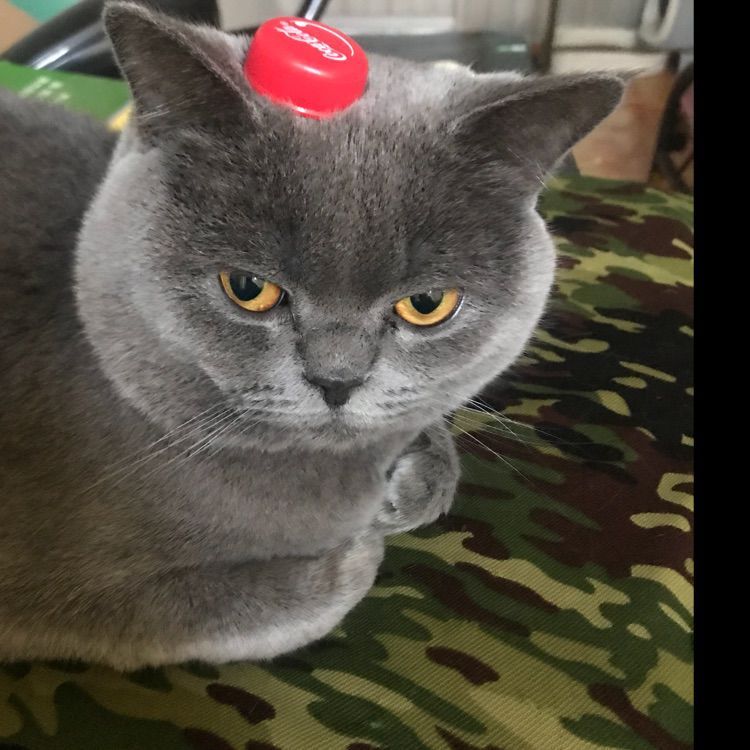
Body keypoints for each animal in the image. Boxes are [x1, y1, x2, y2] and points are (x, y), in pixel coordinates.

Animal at [0, 2, 622, 669]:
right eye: (248, 287)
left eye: (428, 305)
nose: (337, 378)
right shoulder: (85, 597)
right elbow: (270, 605)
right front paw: (363, 544)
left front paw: (414, 480)